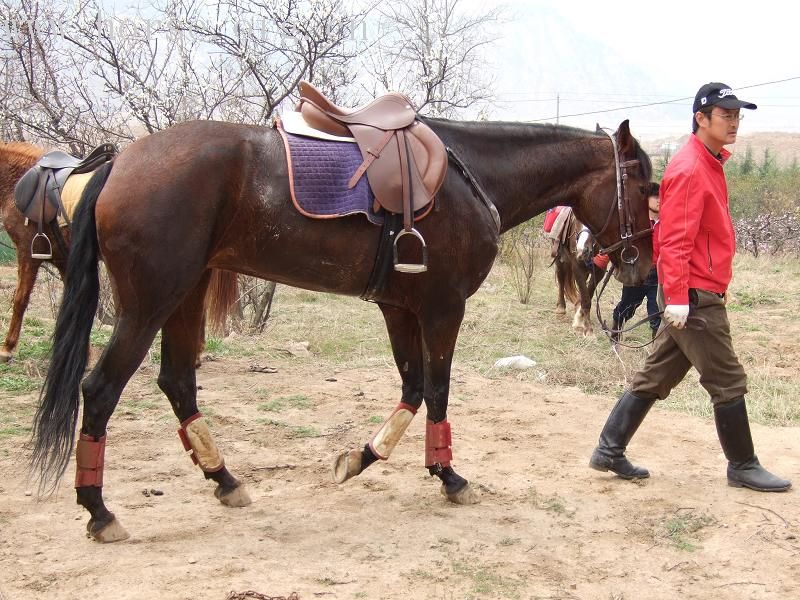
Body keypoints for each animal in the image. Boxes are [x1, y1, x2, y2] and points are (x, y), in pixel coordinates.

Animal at [32, 115, 656, 540]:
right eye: (645, 185)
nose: (642, 266)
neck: (469, 176)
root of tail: (119, 162)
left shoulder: (399, 309)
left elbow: (411, 390)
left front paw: (361, 458)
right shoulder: (442, 308)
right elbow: (437, 390)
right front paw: (448, 475)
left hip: (187, 294)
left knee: (178, 382)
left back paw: (225, 480)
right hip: (150, 303)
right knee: (100, 390)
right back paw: (99, 509)